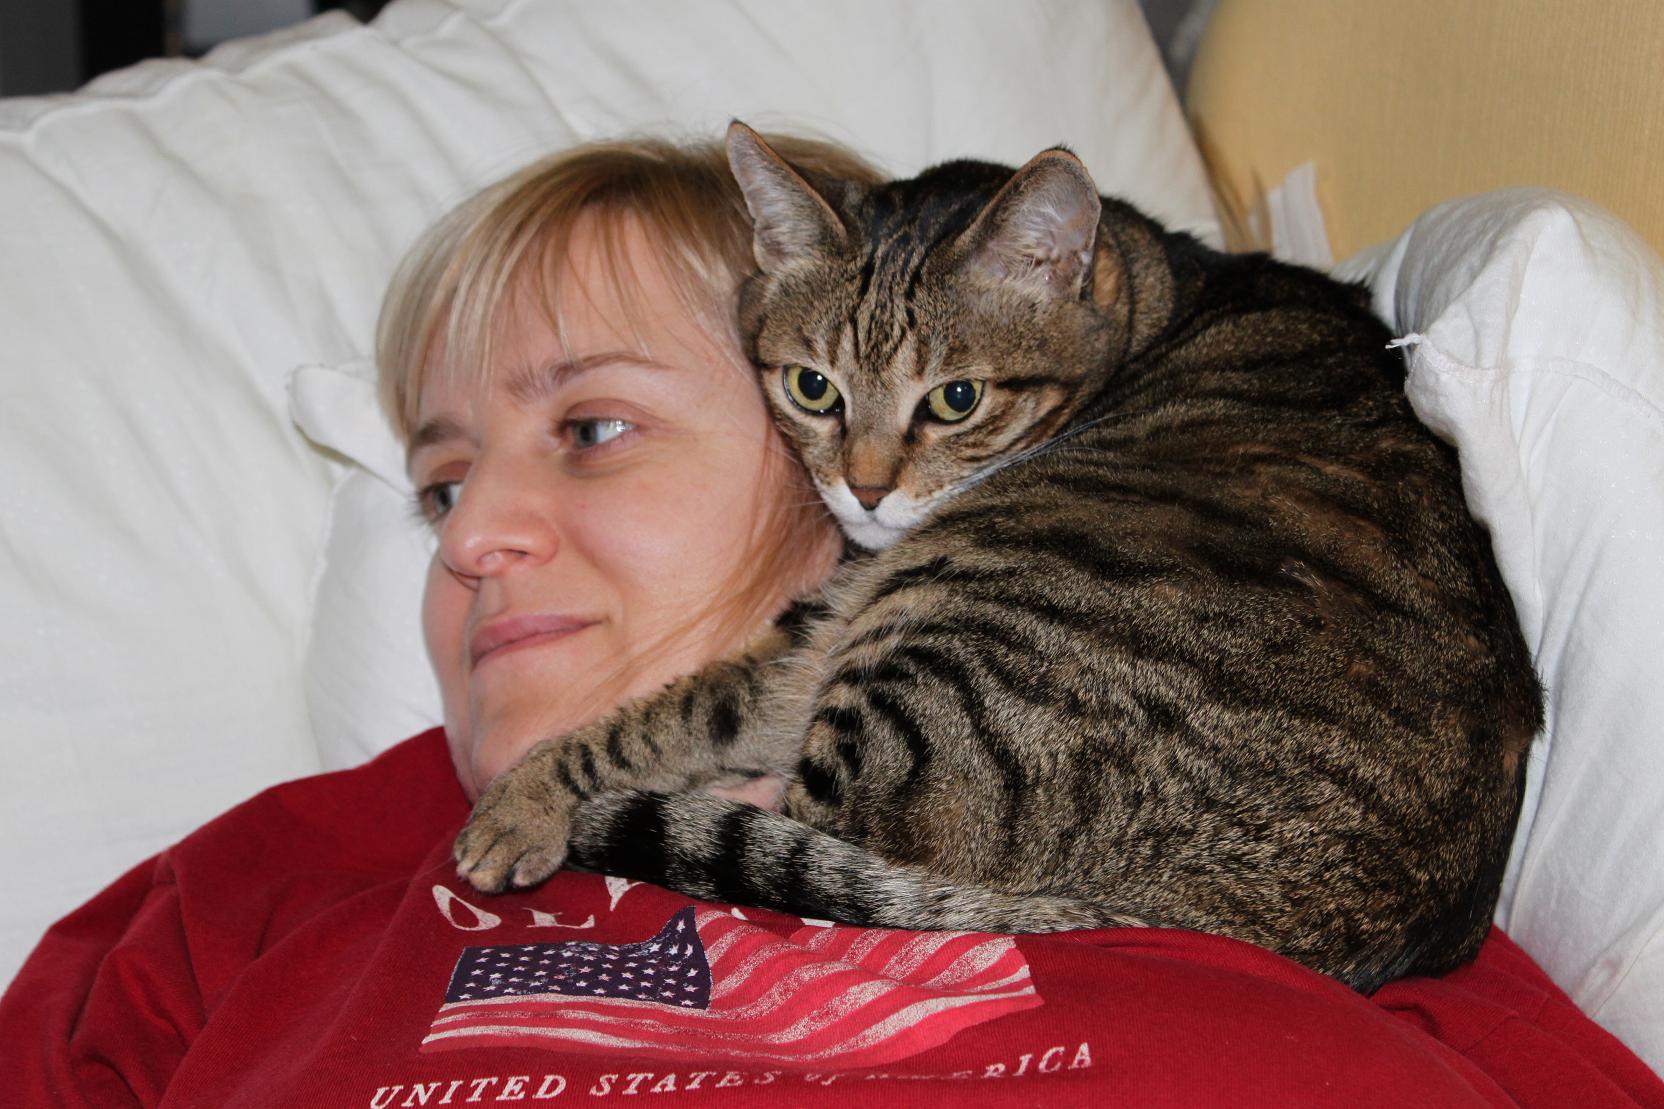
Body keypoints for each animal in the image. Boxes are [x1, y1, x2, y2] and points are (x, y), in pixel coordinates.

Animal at [453, 122, 1543, 993]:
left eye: (956, 399)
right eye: (811, 386)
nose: (864, 490)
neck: (1154, 298)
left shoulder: (839, 626)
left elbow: (673, 725)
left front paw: (540, 800)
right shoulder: (814, 626)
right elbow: (668, 714)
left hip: (948, 632)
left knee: (813, 819)